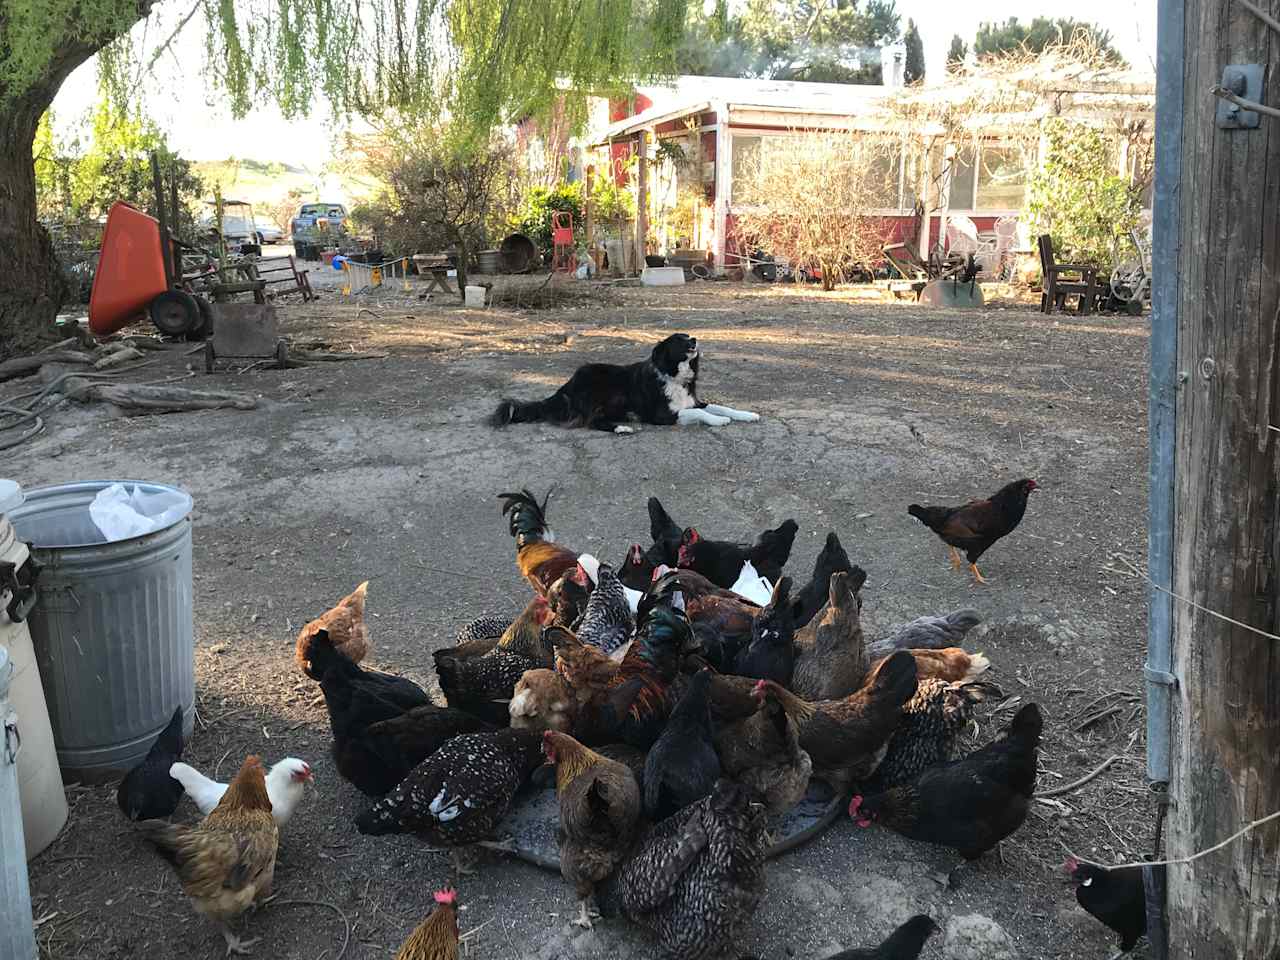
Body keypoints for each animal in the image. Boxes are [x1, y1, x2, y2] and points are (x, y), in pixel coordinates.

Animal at [483, 332, 752, 435]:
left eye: (687, 336)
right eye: (679, 340)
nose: (695, 339)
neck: (673, 375)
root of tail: (565, 386)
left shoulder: (693, 400)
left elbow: (720, 406)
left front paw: (748, 414)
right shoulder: (662, 415)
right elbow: (700, 413)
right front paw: (718, 421)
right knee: (590, 421)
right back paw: (621, 428)